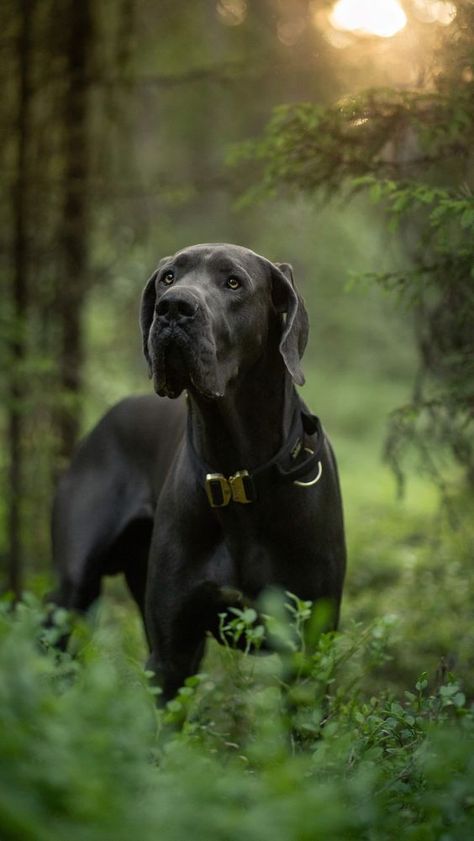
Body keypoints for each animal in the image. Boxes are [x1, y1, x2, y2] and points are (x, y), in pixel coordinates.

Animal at [51, 244, 346, 704]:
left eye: (233, 282)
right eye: (168, 278)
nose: (173, 308)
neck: (237, 475)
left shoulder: (307, 652)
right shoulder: (172, 655)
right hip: (73, 589)